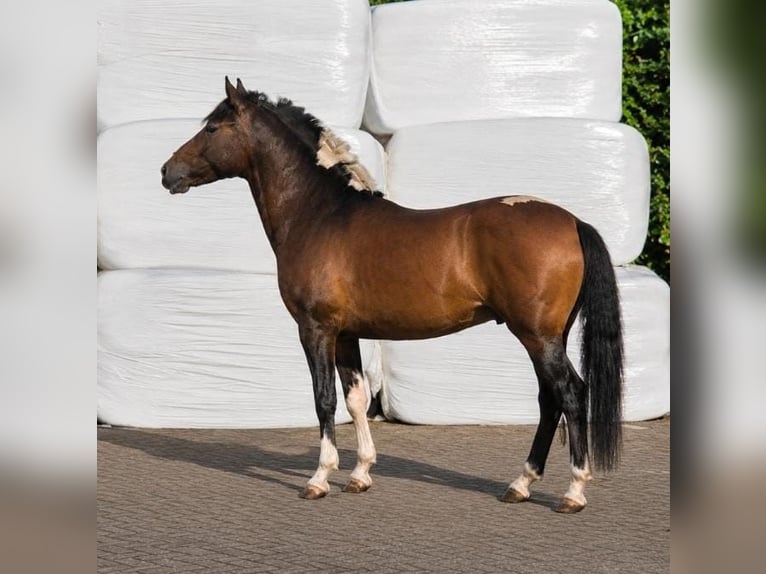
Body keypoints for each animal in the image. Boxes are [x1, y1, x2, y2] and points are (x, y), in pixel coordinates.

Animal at [161, 77, 623, 513]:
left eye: (213, 127)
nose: (168, 171)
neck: (320, 214)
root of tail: (572, 221)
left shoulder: (316, 329)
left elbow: (324, 400)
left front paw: (319, 478)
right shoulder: (346, 335)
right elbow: (356, 400)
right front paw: (360, 474)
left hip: (537, 336)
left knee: (570, 394)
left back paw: (573, 492)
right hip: (546, 336)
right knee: (549, 400)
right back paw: (520, 485)